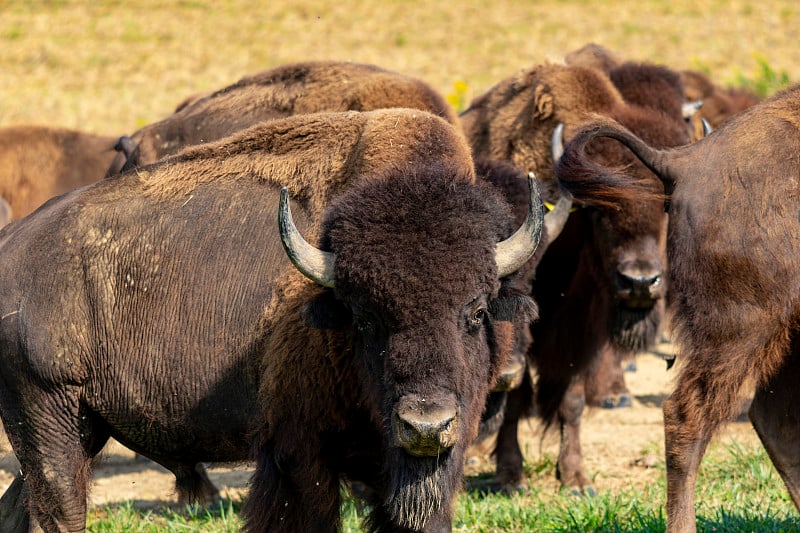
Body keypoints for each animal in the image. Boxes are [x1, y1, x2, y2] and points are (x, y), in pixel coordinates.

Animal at [0, 107, 544, 528]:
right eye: (364, 317)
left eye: (476, 311)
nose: (426, 425)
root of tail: (12, 245)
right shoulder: (298, 456)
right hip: (50, 421)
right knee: (61, 513)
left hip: (78, 429)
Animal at [460, 61, 692, 490]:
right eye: (598, 210)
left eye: (666, 207)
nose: (640, 283)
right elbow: (515, 397)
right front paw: (511, 474)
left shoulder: (580, 337)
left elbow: (573, 401)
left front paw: (577, 479)